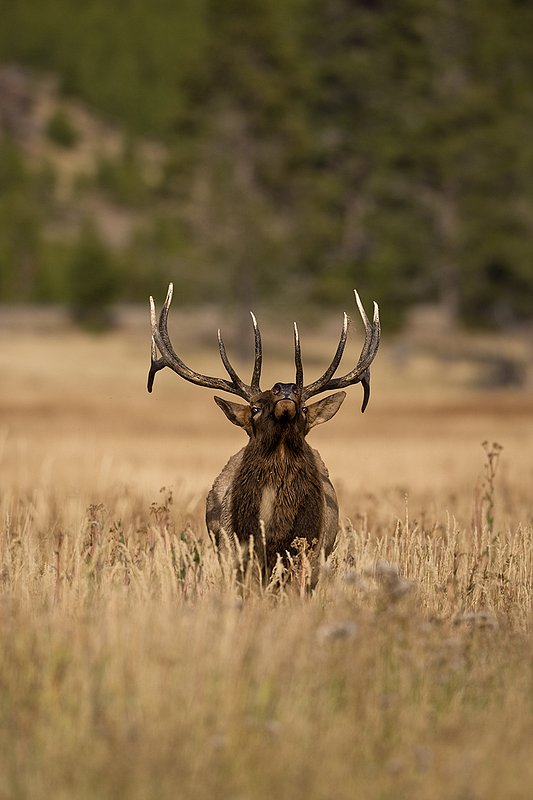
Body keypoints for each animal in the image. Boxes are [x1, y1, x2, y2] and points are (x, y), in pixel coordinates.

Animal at [148, 284, 380, 587]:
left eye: (304, 408)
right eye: (255, 407)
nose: (286, 387)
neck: (275, 531)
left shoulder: (312, 555)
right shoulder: (233, 551)